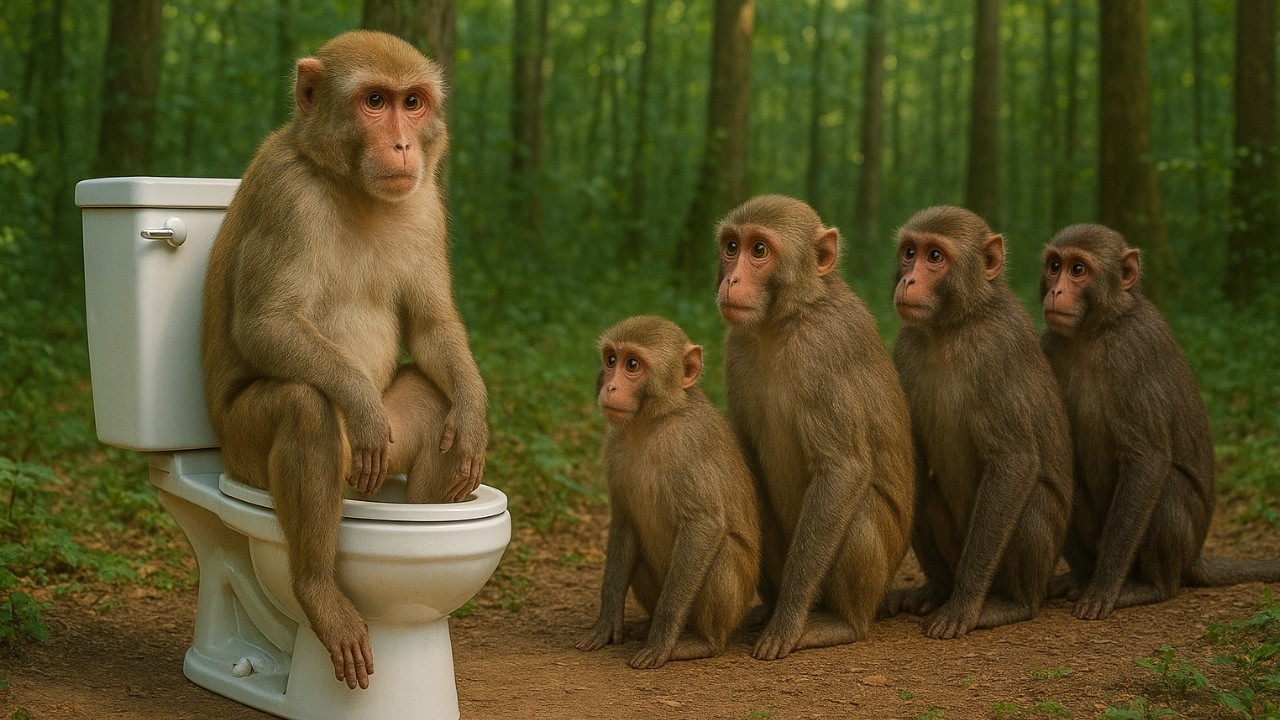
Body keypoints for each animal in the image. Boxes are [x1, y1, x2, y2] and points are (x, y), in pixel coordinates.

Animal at [200, 31, 488, 690]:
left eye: (412, 102)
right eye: (374, 101)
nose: (403, 144)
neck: (347, 183)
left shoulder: (426, 201)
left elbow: (433, 330)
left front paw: (475, 414)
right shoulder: (288, 193)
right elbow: (267, 323)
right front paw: (358, 402)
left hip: (368, 476)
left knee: (431, 402)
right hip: (244, 450)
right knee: (303, 407)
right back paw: (318, 590)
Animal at [576, 316, 760, 669]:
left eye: (633, 365)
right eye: (611, 360)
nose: (611, 387)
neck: (651, 423)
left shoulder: (689, 445)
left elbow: (704, 525)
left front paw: (661, 640)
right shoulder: (614, 444)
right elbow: (624, 522)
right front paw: (607, 624)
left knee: (723, 552)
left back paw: (701, 641)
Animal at [716, 195, 915, 661]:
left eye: (759, 250)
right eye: (732, 247)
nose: (732, 278)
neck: (783, 321)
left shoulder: (824, 350)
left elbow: (843, 470)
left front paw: (787, 619)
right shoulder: (736, 346)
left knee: (858, 507)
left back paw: (841, 622)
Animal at [886, 205, 1072, 640]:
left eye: (935, 257)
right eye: (909, 252)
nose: (908, 279)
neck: (953, 327)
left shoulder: (997, 352)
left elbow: (1015, 461)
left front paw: (964, 604)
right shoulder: (905, 346)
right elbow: (912, 459)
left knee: (1032, 501)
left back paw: (1011, 603)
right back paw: (938, 589)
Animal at [1040, 224, 1280, 620]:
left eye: (1078, 270)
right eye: (1054, 266)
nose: (1056, 290)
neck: (1098, 329)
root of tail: (1194, 558)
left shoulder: (1132, 352)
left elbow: (1148, 460)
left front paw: (1104, 587)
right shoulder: (1049, 344)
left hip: (1182, 543)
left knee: (1167, 487)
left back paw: (1151, 586)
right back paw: (1081, 577)